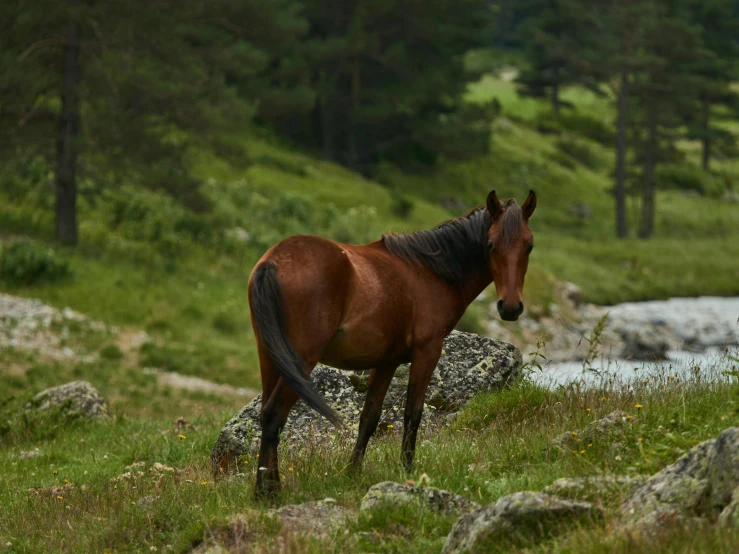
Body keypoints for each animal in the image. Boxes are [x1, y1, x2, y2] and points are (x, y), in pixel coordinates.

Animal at [250, 190, 536, 496]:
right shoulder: (427, 352)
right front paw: (407, 470)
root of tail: (274, 262)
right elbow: (413, 413)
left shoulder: (385, 363)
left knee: (266, 416)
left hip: (270, 358)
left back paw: (267, 487)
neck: (430, 272)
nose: (510, 308)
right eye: (491, 244)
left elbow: (369, 418)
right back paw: (267, 493)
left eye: (529, 246)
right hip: (301, 361)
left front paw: (353, 473)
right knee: (275, 415)